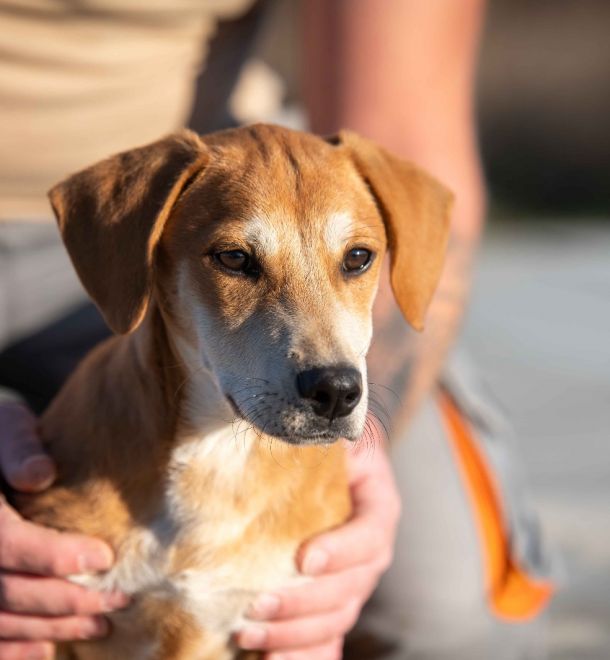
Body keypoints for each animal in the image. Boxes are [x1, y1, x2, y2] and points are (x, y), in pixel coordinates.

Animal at [13, 124, 452, 659]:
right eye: (235, 258)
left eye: (357, 258)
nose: (336, 391)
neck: (218, 457)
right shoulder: (47, 620)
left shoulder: (290, 624)